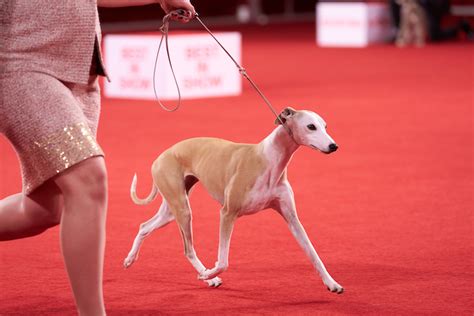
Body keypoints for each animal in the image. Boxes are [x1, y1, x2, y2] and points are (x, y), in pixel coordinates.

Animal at [124, 108, 342, 294]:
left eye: (325, 126)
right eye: (311, 126)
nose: (333, 146)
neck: (269, 160)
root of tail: (162, 155)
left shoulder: (291, 218)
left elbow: (313, 253)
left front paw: (332, 283)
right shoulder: (227, 213)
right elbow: (223, 262)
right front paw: (209, 274)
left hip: (172, 208)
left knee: (145, 226)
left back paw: (129, 259)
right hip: (183, 210)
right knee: (188, 249)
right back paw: (208, 277)